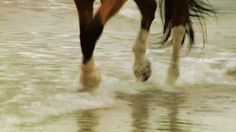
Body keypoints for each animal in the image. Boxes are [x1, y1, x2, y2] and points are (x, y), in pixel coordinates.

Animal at [74, 0, 216, 91]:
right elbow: (85, 33)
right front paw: (88, 78)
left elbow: (91, 31)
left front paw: (89, 78)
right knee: (150, 8)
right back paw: (142, 68)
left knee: (178, 24)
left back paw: (170, 80)